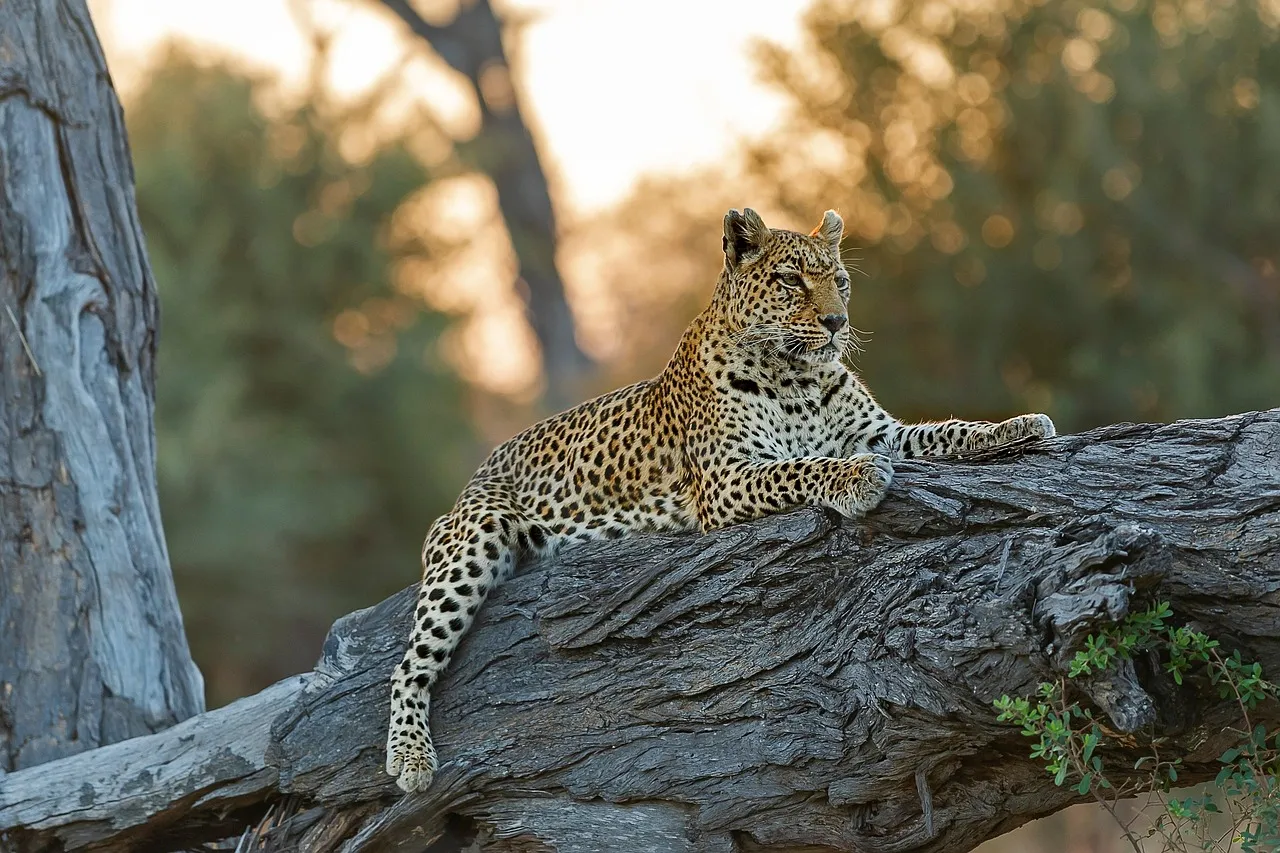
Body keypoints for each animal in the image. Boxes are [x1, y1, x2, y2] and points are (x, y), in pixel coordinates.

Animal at [385, 206, 1055, 792]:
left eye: (839, 282)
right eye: (791, 281)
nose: (837, 323)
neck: (797, 377)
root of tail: (477, 474)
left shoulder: (879, 431)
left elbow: (944, 431)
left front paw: (1016, 426)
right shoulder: (724, 479)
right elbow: (798, 467)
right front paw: (855, 478)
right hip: (473, 543)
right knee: (409, 664)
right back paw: (411, 758)